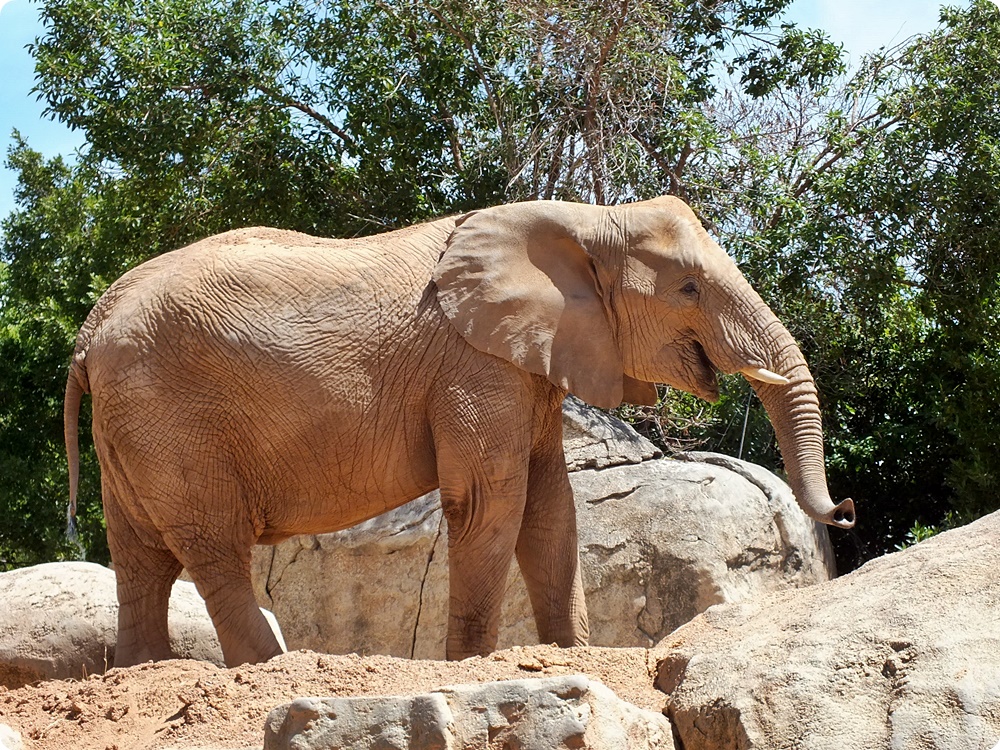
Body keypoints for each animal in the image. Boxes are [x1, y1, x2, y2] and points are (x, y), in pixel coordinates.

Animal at [63, 196, 855, 668]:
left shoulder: (528, 364)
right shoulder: (476, 365)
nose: (845, 510)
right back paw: (274, 670)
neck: (586, 219)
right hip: (171, 416)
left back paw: (141, 672)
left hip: (133, 423)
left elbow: (552, 511)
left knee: (140, 557)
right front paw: (472, 667)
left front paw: (568, 657)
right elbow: (491, 504)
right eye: (688, 289)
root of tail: (89, 330)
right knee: (213, 548)